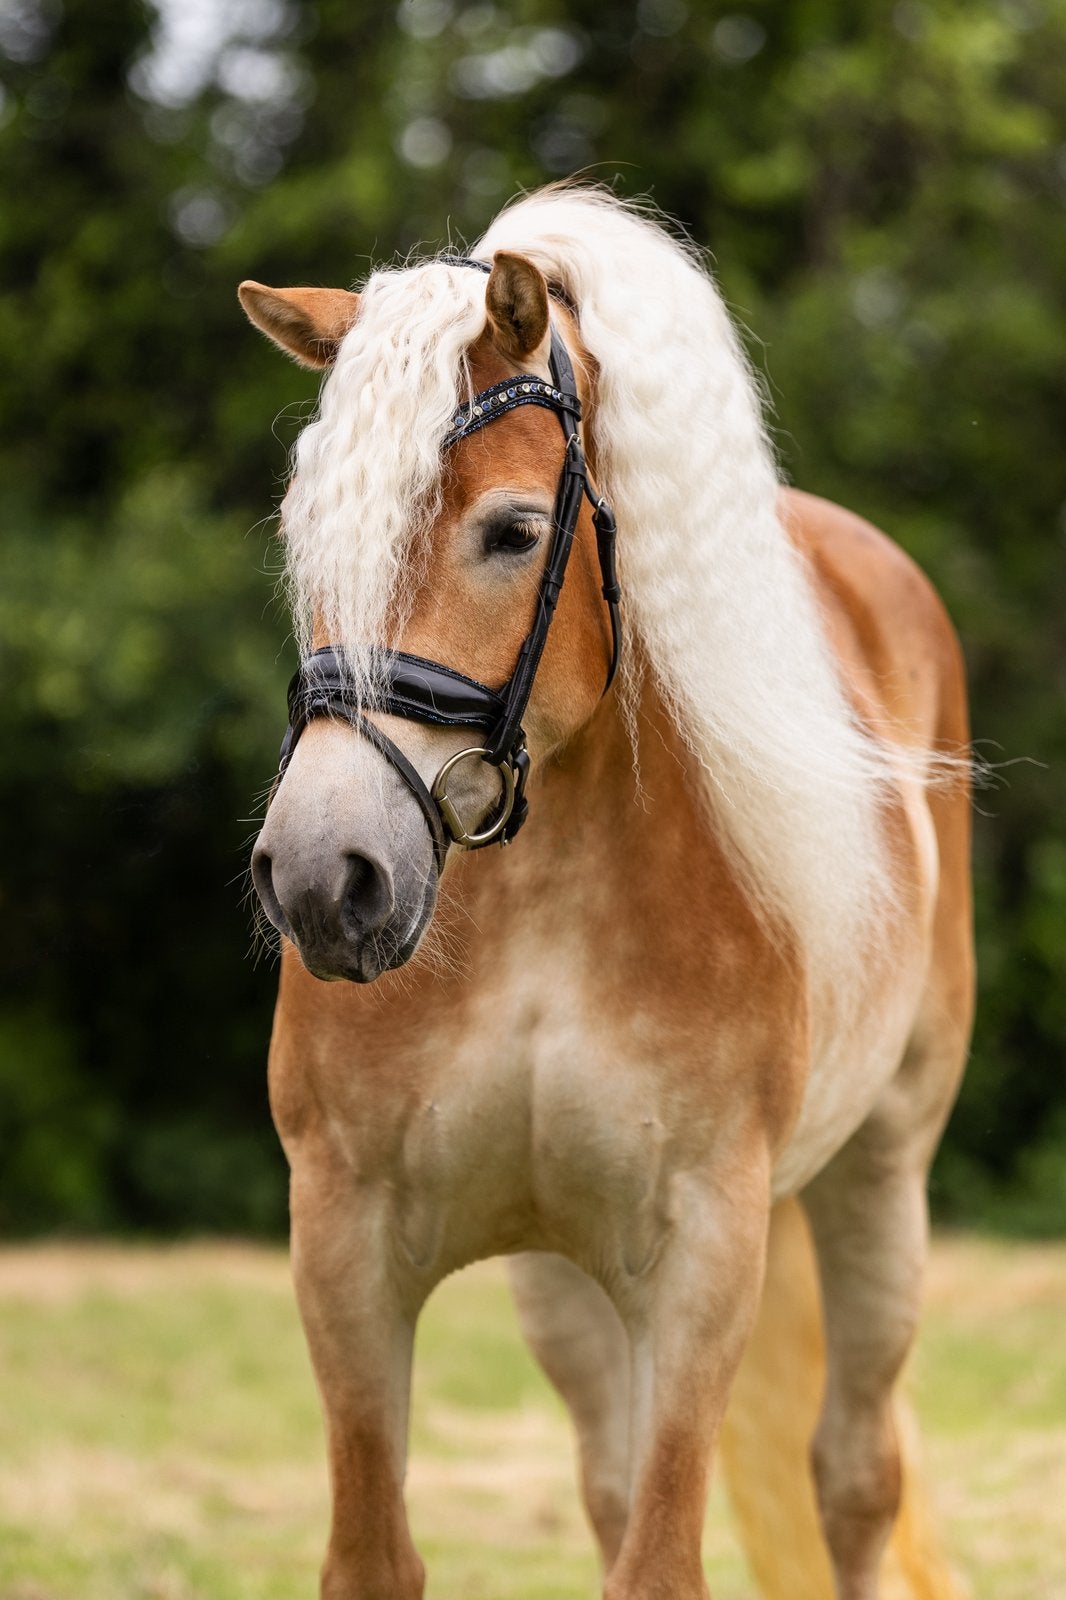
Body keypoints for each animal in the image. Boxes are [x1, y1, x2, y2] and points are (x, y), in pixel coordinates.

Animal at [238, 187, 974, 1600]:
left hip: (878, 1183)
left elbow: (663, 1558)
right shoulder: (346, 1243)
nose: (323, 879)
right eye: (309, 532)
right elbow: (377, 1553)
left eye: (513, 531)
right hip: (564, 1281)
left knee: (855, 1483)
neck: (543, 908)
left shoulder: (700, 1256)